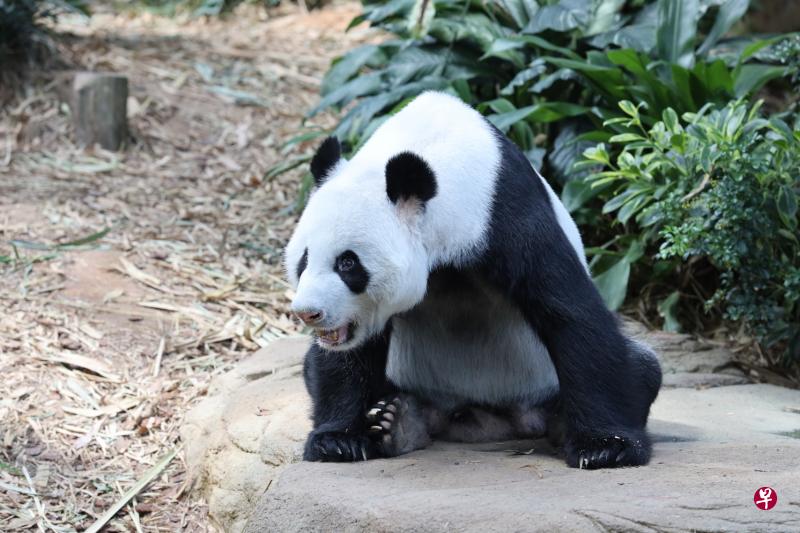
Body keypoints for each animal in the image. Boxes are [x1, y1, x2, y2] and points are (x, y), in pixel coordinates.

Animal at [284, 92, 660, 470]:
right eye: (304, 260)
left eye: (347, 263)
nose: (308, 313)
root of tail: (492, 421)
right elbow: (350, 354)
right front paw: (338, 441)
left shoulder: (506, 215)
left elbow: (571, 313)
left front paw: (605, 447)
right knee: (314, 369)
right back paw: (401, 423)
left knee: (643, 369)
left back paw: (561, 423)